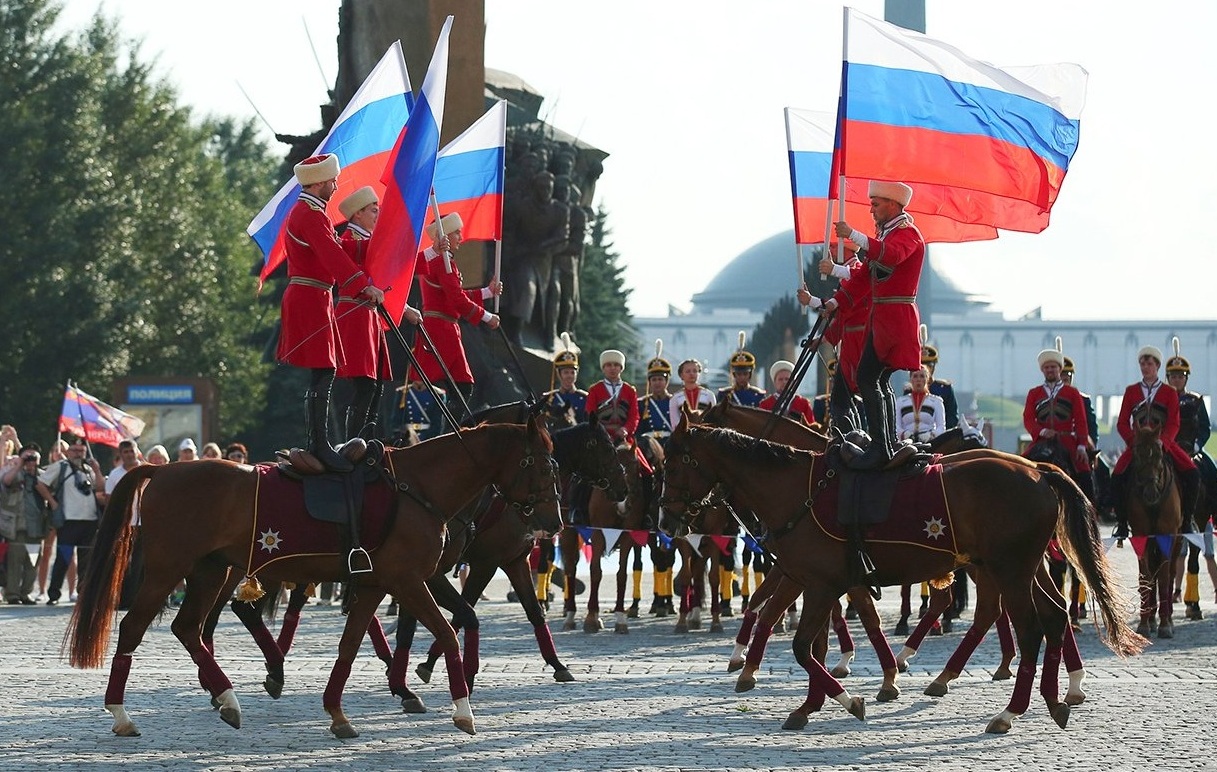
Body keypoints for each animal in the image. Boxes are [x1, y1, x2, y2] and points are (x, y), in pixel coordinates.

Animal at [66, 418, 559, 735]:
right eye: (541, 465)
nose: (552, 521)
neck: (415, 487)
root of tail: (163, 469)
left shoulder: (376, 584)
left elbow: (350, 645)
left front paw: (339, 713)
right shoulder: (409, 581)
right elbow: (447, 632)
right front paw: (462, 710)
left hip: (210, 571)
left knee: (189, 628)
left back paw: (228, 698)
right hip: (168, 571)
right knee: (134, 627)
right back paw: (122, 714)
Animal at [562, 438, 657, 633]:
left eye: (636, 468)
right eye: (614, 468)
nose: (624, 502)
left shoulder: (628, 536)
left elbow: (622, 574)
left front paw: (620, 618)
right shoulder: (598, 532)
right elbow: (595, 572)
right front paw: (591, 618)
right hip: (568, 532)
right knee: (570, 570)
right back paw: (570, 615)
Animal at [657, 423, 1139, 730]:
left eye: (675, 464)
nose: (666, 518)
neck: (798, 490)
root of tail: (1037, 469)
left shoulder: (822, 585)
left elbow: (803, 646)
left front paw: (849, 698)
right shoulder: (806, 580)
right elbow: (805, 639)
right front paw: (812, 702)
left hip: (1010, 570)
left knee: (1030, 628)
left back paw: (1009, 710)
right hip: (1019, 569)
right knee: (1053, 615)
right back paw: (1054, 697)